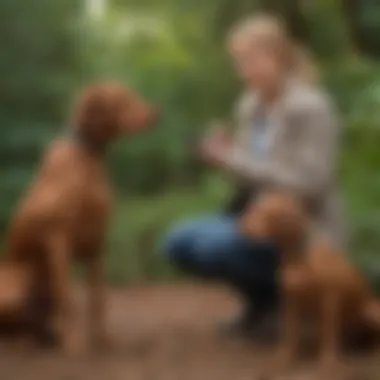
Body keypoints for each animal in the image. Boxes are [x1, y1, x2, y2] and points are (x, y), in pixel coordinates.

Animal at [1, 81, 159, 354]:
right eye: (122, 99)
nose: (156, 112)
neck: (88, 160)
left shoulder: (97, 242)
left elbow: (98, 299)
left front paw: (104, 339)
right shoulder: (58, 240)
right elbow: (69, 299)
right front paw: (75, 343)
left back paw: (46, 337)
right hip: (17, 280)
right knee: (14, 328)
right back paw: (30, 341)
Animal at [240, 191, 380, 370]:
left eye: (272, 213)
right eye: (253, 207)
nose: (244, 225)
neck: (297, 260)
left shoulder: (330, 300)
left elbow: (328, 334)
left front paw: (328, 362)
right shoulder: (290, 302)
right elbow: (290, 334)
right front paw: (283, 358)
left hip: (373, 310)